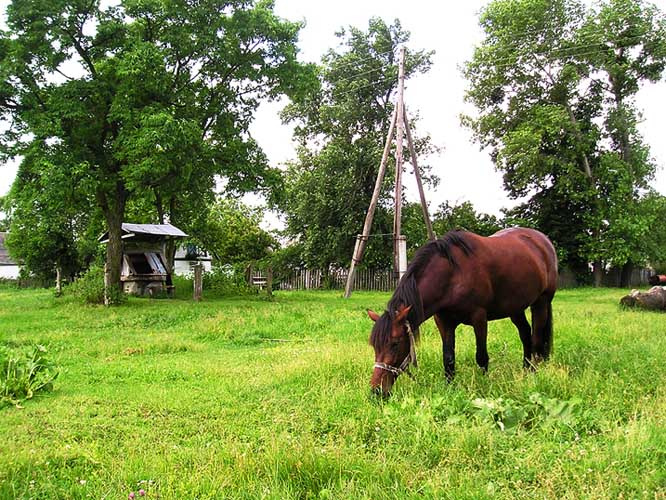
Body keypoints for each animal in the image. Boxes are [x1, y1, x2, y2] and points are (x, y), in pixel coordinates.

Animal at [367, 227, 558, 397]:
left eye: (395, 343)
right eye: (375, 346)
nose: (377, 391)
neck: (453, 275)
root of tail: (543, 241)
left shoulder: (479, 318)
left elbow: (481, 357)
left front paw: (483, 386)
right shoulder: (443, 322)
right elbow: (448, 358)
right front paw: (449, 388)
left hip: (541, 302)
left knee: (536, 340)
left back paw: (533, 374)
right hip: (515, 308)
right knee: (525, 334)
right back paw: (525, 370)